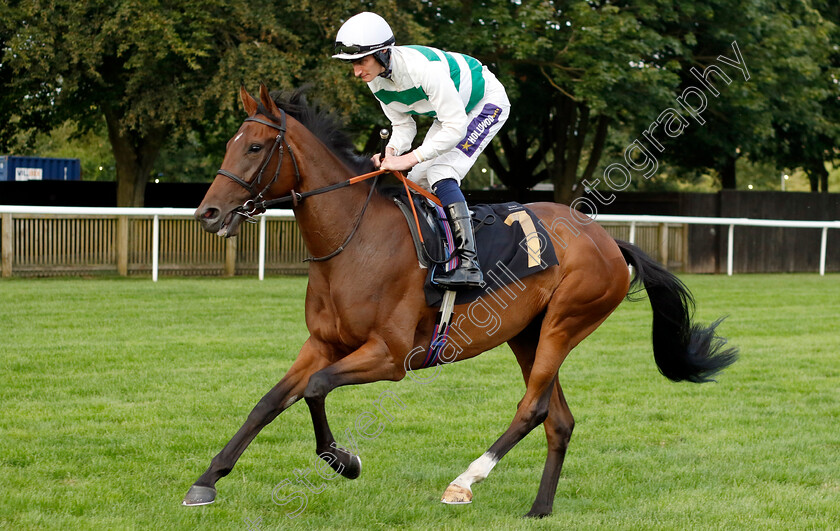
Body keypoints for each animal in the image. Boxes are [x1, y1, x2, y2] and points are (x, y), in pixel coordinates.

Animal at [185, 85, 736, 516]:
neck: (356, 243)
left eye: (256, 147)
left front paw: (345, 461)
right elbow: (271, 401)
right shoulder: (322, 343)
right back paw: (539, 508)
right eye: (232, 145)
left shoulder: (390, 357)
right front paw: (206, 481)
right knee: (558, 419)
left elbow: (316, 389)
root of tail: (606, 239)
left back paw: (464, 482)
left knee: (532, 408)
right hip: (527, 334)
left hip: (565, 322)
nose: (207, 213)